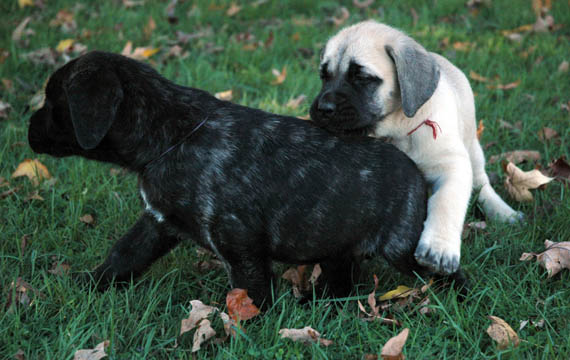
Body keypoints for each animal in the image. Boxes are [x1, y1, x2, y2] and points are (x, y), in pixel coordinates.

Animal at [27, 51, 462, 306]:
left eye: (53, 102)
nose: (27, 127)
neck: (170, 133)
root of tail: (414, 169)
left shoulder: (241, 246)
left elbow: (248, 299)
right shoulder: (156, 223)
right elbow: (123, 256)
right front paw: (87, 285)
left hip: (402, 248)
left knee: (447, 272)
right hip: (339, 247)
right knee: (340, 281)